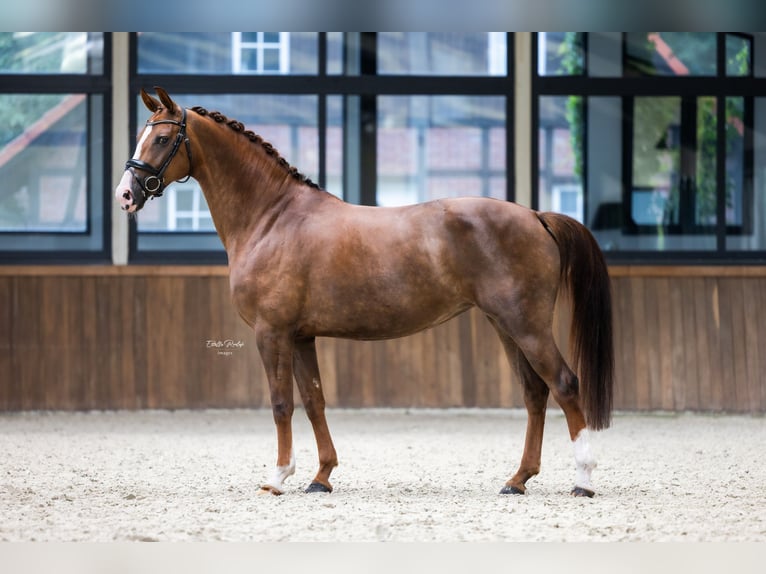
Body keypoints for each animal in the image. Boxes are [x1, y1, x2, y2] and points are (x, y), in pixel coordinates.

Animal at [115, 89, 616, 500]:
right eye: (142, 136)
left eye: (162, 139)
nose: (125, 195)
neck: (272, 217)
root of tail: (536, 216)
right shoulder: (301, 336)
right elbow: (314, 400)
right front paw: (321, 477)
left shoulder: (271, 333)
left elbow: (281, 404)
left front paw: (278, 477)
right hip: (505, 325)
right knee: (535, 393)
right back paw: (517, 480)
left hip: (525, 325)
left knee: (564, 385)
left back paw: (583, 480)